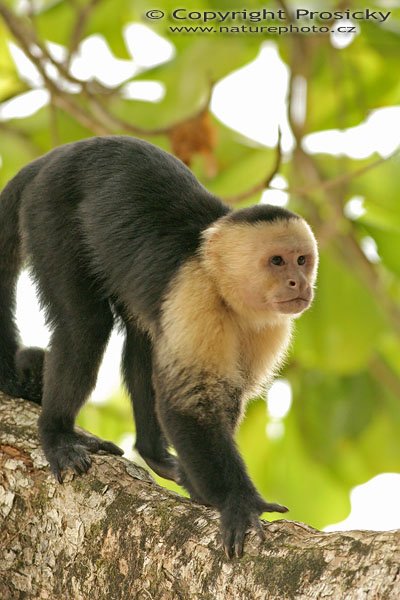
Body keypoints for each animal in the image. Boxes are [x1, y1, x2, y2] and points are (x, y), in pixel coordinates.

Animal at [0, 136, 318, 556]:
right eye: (277, 261)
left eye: (302, 260)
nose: (300, 283)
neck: (222, 286)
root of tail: (60, 153)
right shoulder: (194, 294)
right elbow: (189, 403)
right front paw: (239, 501)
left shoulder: (269, 326)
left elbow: (224, 397)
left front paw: (204, 491)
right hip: (49, 209)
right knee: (84, 327)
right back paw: (56, 434)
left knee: (144, 337)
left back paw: (153, 452)